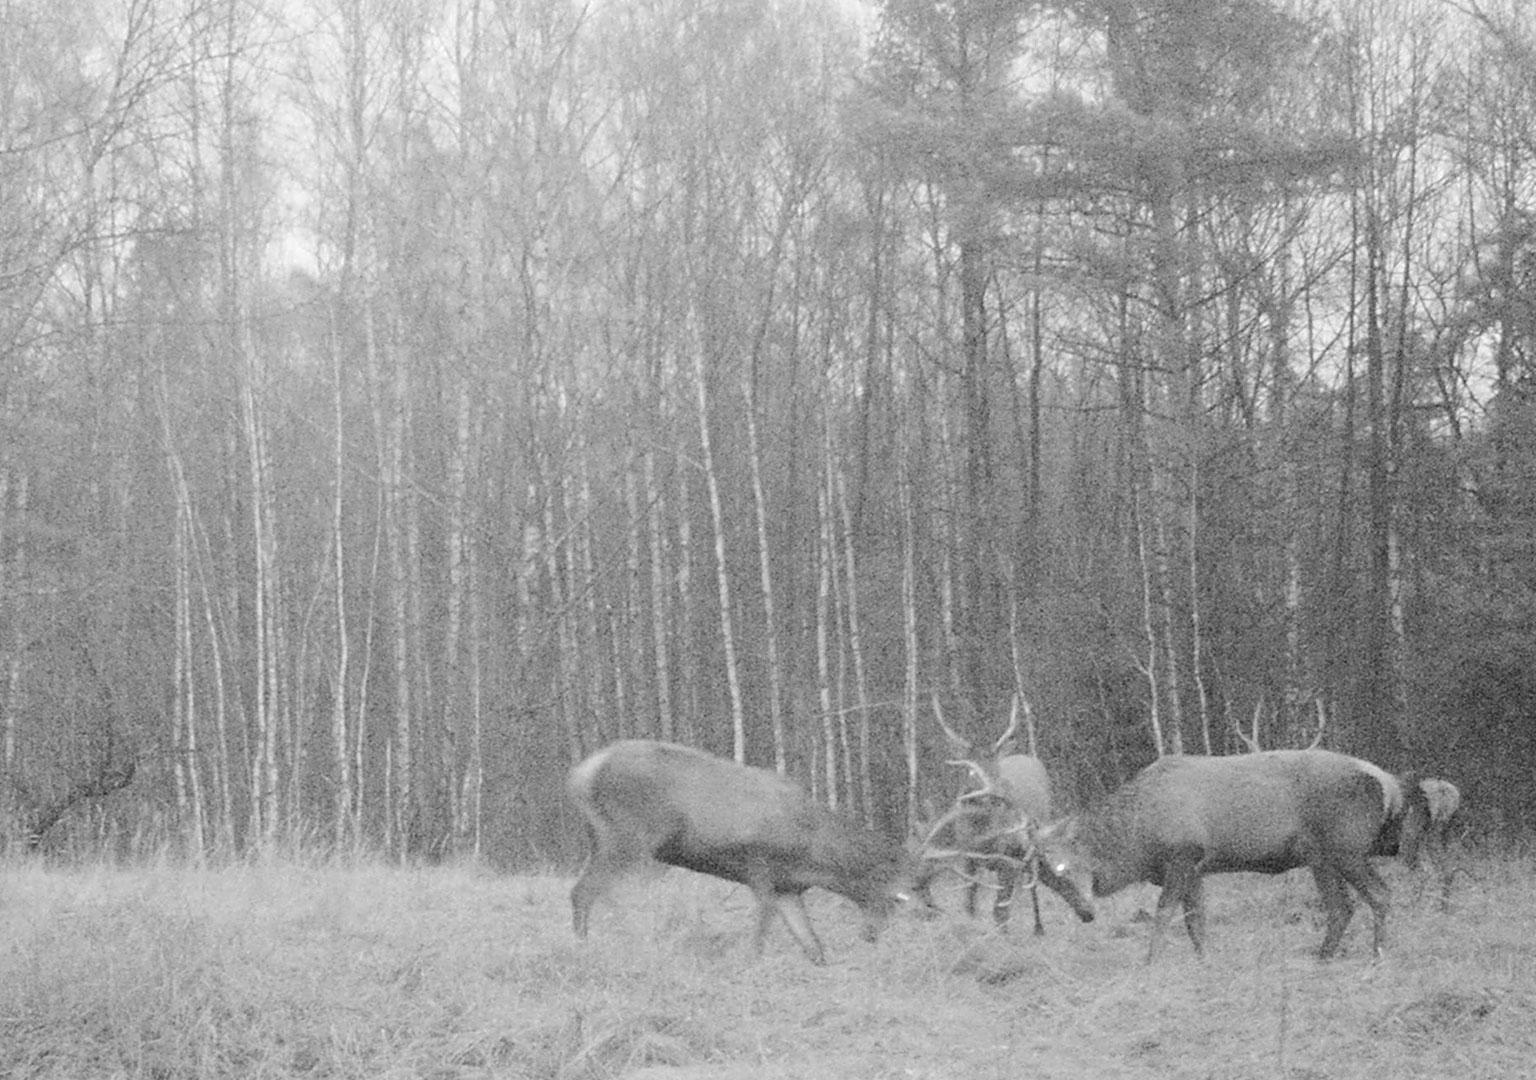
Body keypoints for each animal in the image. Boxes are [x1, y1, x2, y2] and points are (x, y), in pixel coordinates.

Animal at [571, 740, 915, 964]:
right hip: (628, 838)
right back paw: (591, 948)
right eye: (892, 898)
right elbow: (762, 926)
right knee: (586, 892)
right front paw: (752, 964)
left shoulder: (787, 887)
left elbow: (813, 945)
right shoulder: (760, 867)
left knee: (593, 892)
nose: (871, 935)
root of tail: (580, 775)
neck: (812, 855)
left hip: (602, 840)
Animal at [909, 697, 1093, 934]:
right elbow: (970, 903)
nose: (1089, 913)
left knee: (1031, 884)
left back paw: (1038, 927)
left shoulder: (1011, 857)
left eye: (995, 768)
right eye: (970, 769)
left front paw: (1003, 935)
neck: (981, 832)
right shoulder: (968, 857)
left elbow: (1000, 909)